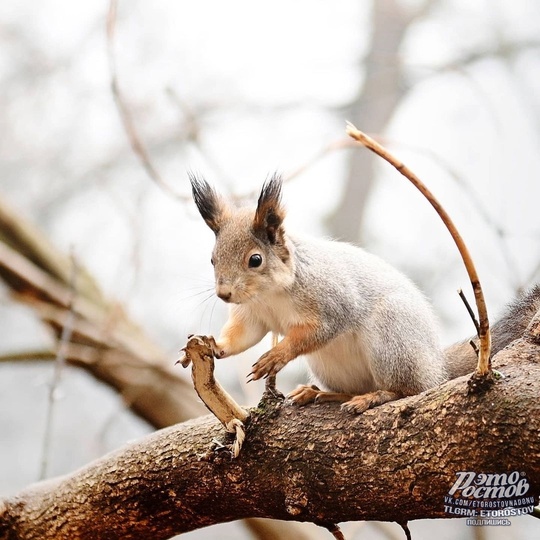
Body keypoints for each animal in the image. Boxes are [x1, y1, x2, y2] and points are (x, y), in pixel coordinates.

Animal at [189, 173, 540, 414]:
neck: (270, 293)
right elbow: (244, 335)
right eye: (212, 259)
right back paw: (320, 393)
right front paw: (213, 344)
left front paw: (276, 356)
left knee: (406, 390)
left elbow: (319, 330)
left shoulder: (331, 299)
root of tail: (436, 367)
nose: (223, 294)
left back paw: (374, 396)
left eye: (255, 260)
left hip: (392, 339)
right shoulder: (253, 313)